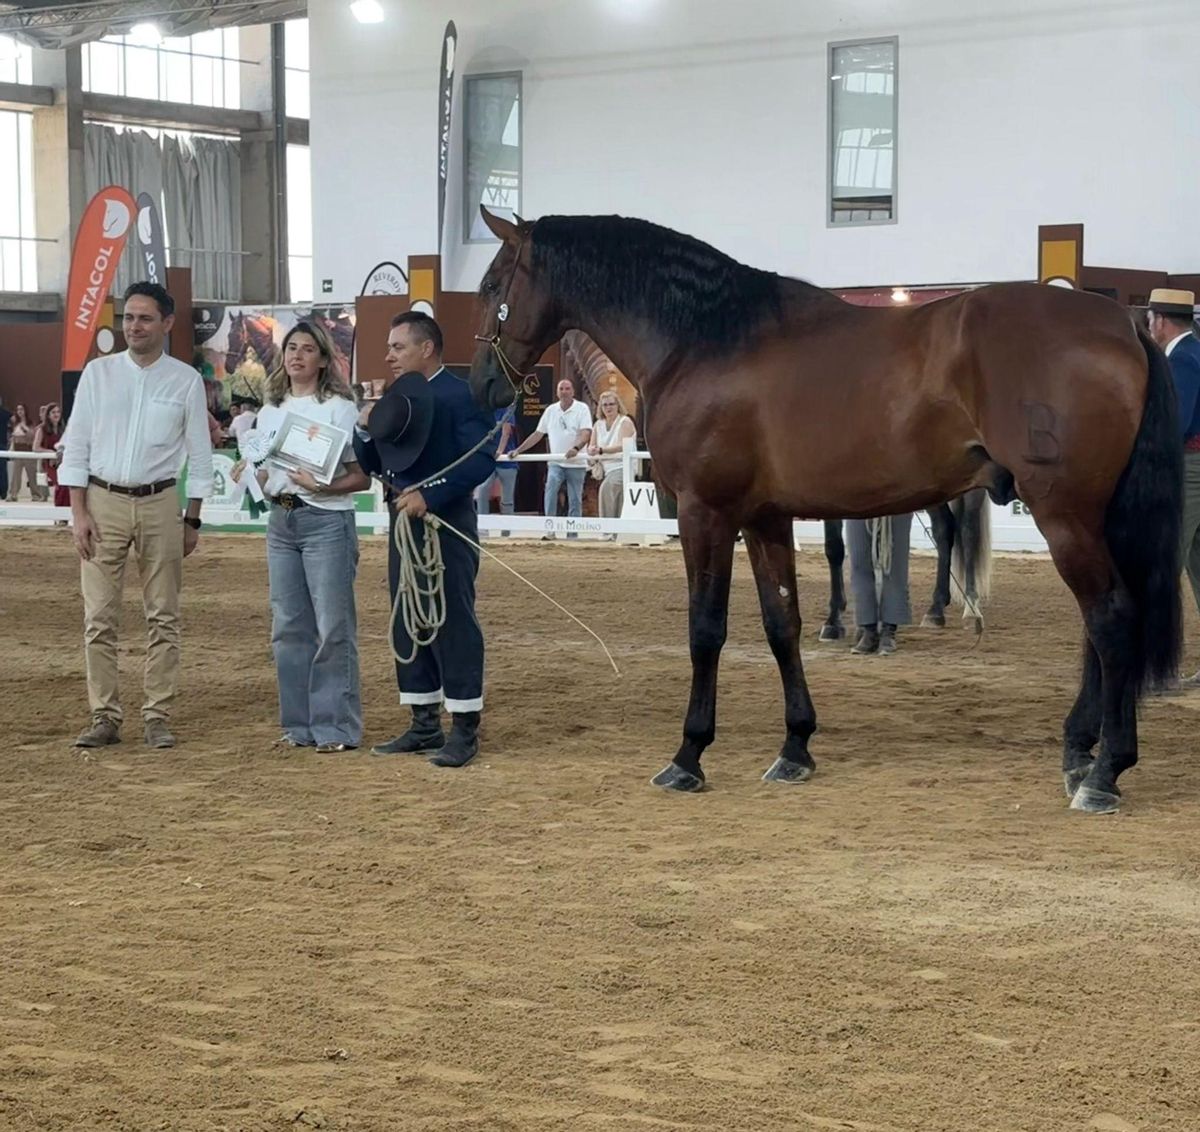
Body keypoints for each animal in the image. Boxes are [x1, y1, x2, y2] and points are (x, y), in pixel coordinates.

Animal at [819, 489, 991, 640]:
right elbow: (834, 547)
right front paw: (834, 621)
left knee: (969, 529)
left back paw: (971, 608)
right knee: (944, 527)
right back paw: (936, 610)